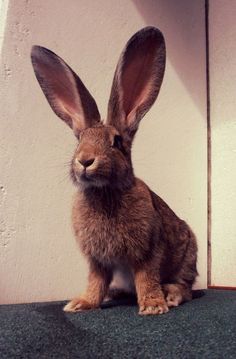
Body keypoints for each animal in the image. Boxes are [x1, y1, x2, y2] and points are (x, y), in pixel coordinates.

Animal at [30, 26, 197, 316]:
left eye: (117, 142)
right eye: (79, 140)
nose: (85, 160)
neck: (105, 192)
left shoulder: (148, 250)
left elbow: (146, 277)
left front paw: (153, 306)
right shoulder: (97, 260)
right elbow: (96, 281)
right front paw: (82, 303)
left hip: (187, 254)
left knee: (185, 286)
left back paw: (171, 295)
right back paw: (116, 293)